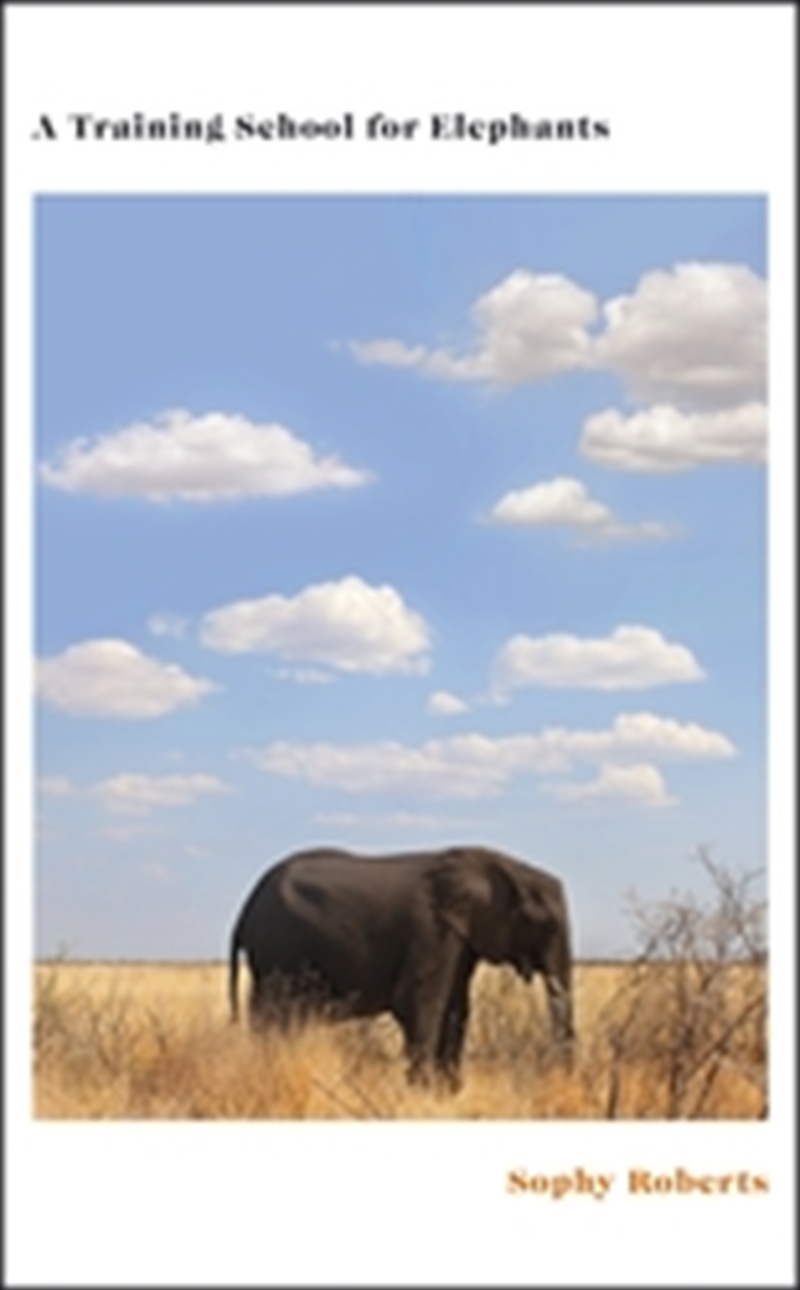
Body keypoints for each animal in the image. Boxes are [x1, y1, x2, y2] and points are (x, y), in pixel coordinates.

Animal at [228, 844, 574, 1089]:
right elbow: (418, 1004)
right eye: (543, 923)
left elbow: (456, 1010)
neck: (490, 864)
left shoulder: (458, 937)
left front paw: (447, 1094)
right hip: (276, 951)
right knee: (273, 1015)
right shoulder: (431, 931)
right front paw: (421, 1093)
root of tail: (245, 908)